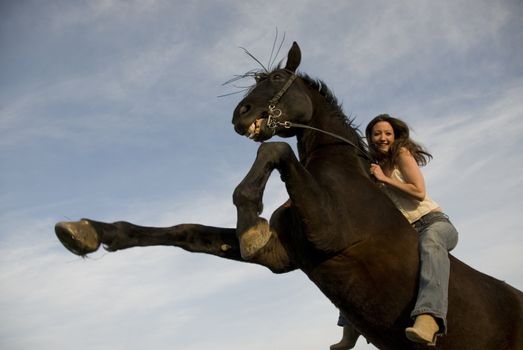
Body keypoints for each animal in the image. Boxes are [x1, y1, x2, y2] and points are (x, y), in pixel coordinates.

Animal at [55, 42, 520, 348]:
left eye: (278, 79)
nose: (239, 114)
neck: (339, 173)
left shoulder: (327, 233)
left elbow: (274, 149)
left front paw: (250, 218)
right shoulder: (284, 254)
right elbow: (185, 232)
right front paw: (86, 232)